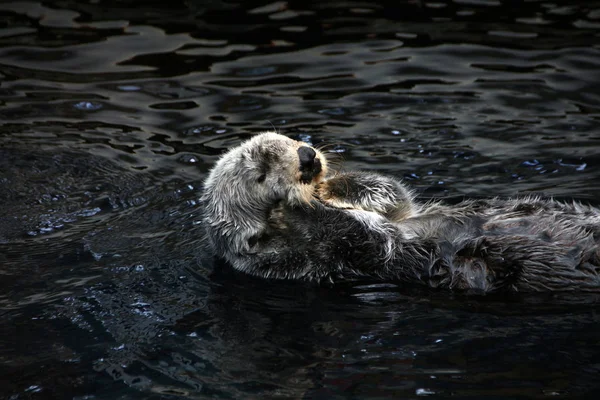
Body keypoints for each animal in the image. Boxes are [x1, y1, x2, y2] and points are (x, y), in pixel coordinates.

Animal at [200, 133, 600, 292]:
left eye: (286, 139)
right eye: (260, 176)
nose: (307, 156)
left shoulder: (400, 211)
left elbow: (393, 192)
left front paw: (332, 186)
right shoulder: (327, 261)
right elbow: (365, 240)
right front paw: (287, 212)